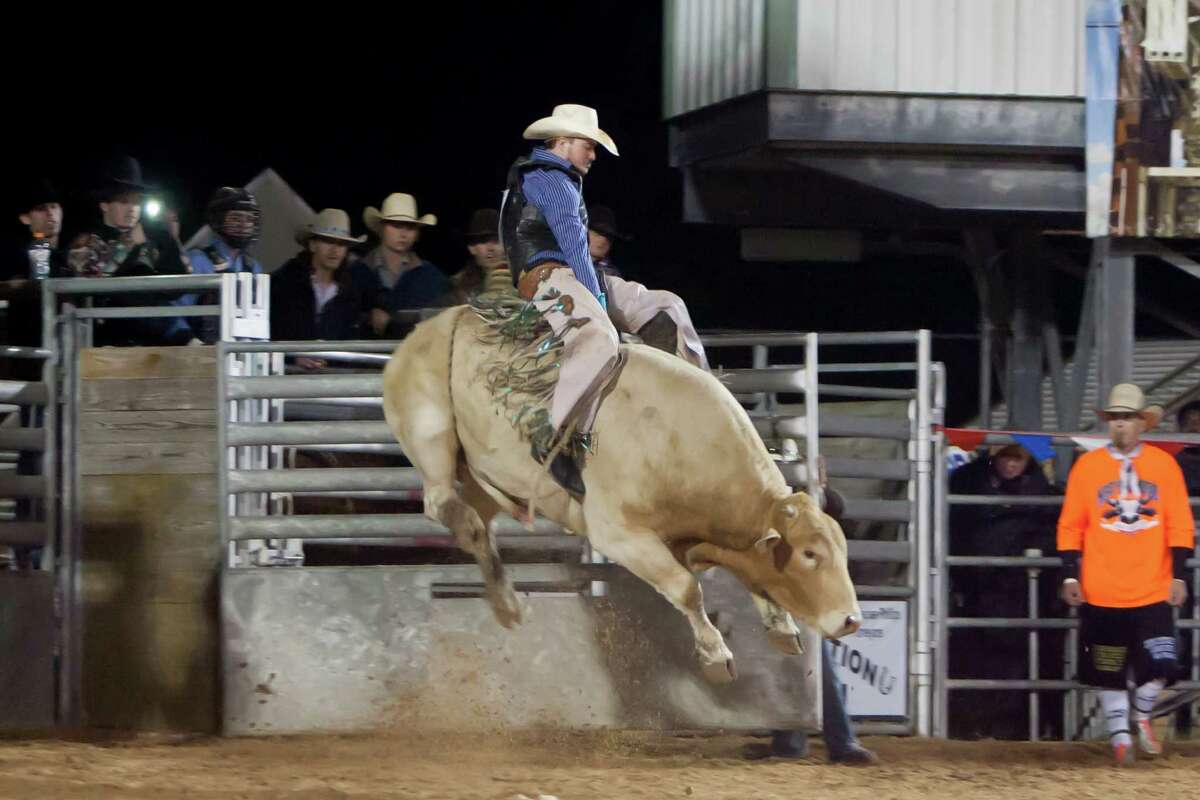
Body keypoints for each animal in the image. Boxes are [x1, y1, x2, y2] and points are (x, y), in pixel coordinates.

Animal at [384, 304, 864, 681]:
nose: (851, 620)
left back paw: (505, 602)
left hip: (483, 470)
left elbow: (752, 577)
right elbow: (686, 589)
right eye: (810, 554)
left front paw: (780, 627)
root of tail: (422, 331)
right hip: (432, 436)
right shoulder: (618, 535)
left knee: (482, 527)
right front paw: (716, 655)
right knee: (442, 502)